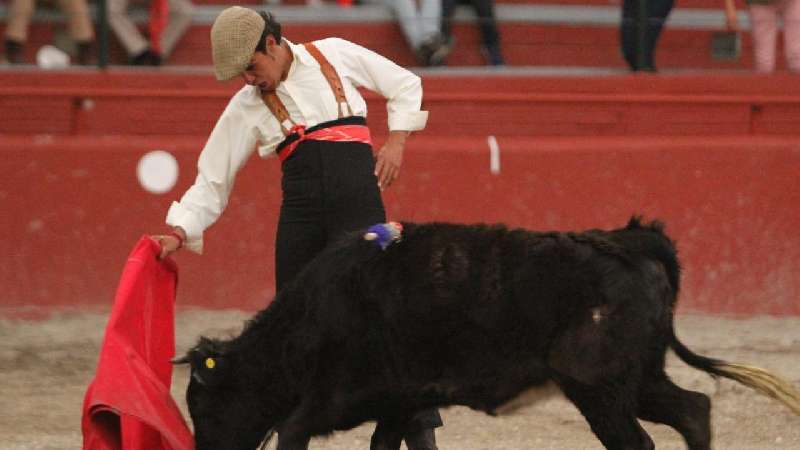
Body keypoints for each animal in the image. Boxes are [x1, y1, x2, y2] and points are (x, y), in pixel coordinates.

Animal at [177, 218, 800, 450]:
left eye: (203, 407)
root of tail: (626, 240)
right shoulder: (401, 398)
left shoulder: (338, 395)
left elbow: (293, 429)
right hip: (635, 376)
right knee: (693, 409)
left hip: (597, 385)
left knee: (639, 440)